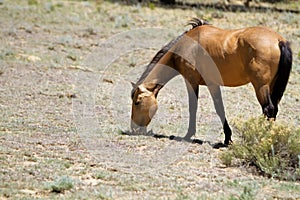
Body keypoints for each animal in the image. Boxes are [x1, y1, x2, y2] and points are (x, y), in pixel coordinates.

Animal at [130, 18, 292, 145]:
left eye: (137, 102)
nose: (134, 128)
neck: (187, 45)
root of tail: (279, 40)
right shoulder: (212, 83)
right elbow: (220, 108)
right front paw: (227, 138)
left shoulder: (191, 81)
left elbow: (193, 107)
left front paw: (188, 135)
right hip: (271, 86)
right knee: (273, 110)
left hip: (260, 86)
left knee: (268, 109)